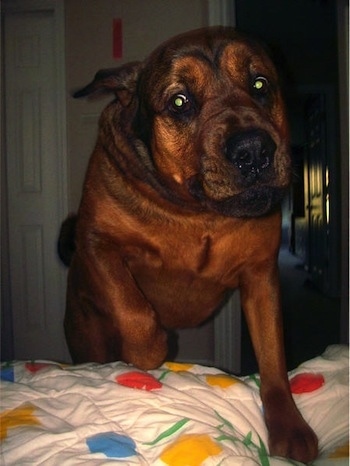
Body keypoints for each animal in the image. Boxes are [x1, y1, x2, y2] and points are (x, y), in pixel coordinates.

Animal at [59, 28, 318, 462]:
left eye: (260, 85)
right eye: (180, 101)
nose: (254, 149)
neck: (198, 214)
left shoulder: (260, 277)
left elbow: (273, 358)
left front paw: (290, 424)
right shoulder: (96, 241)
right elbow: (133, 309)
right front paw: (149, 353)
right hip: (87, 335)